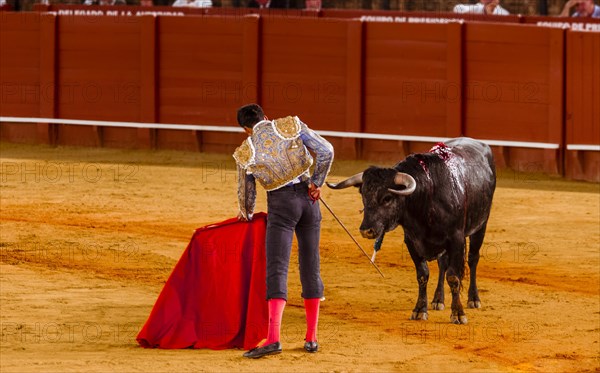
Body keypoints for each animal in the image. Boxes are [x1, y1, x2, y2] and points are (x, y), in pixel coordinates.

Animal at [328, 137, 496, 322]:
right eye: (363, 196)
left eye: (387, 198)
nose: (366, 230)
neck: (428, 197)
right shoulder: (412, 241)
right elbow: (423, 275)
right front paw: (420, 309)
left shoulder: (456, 239)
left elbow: (453, 276)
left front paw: (458, 313)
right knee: (443, 264)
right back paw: (438, 299)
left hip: (481, 226)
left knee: (473, 259)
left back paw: (474, 299)